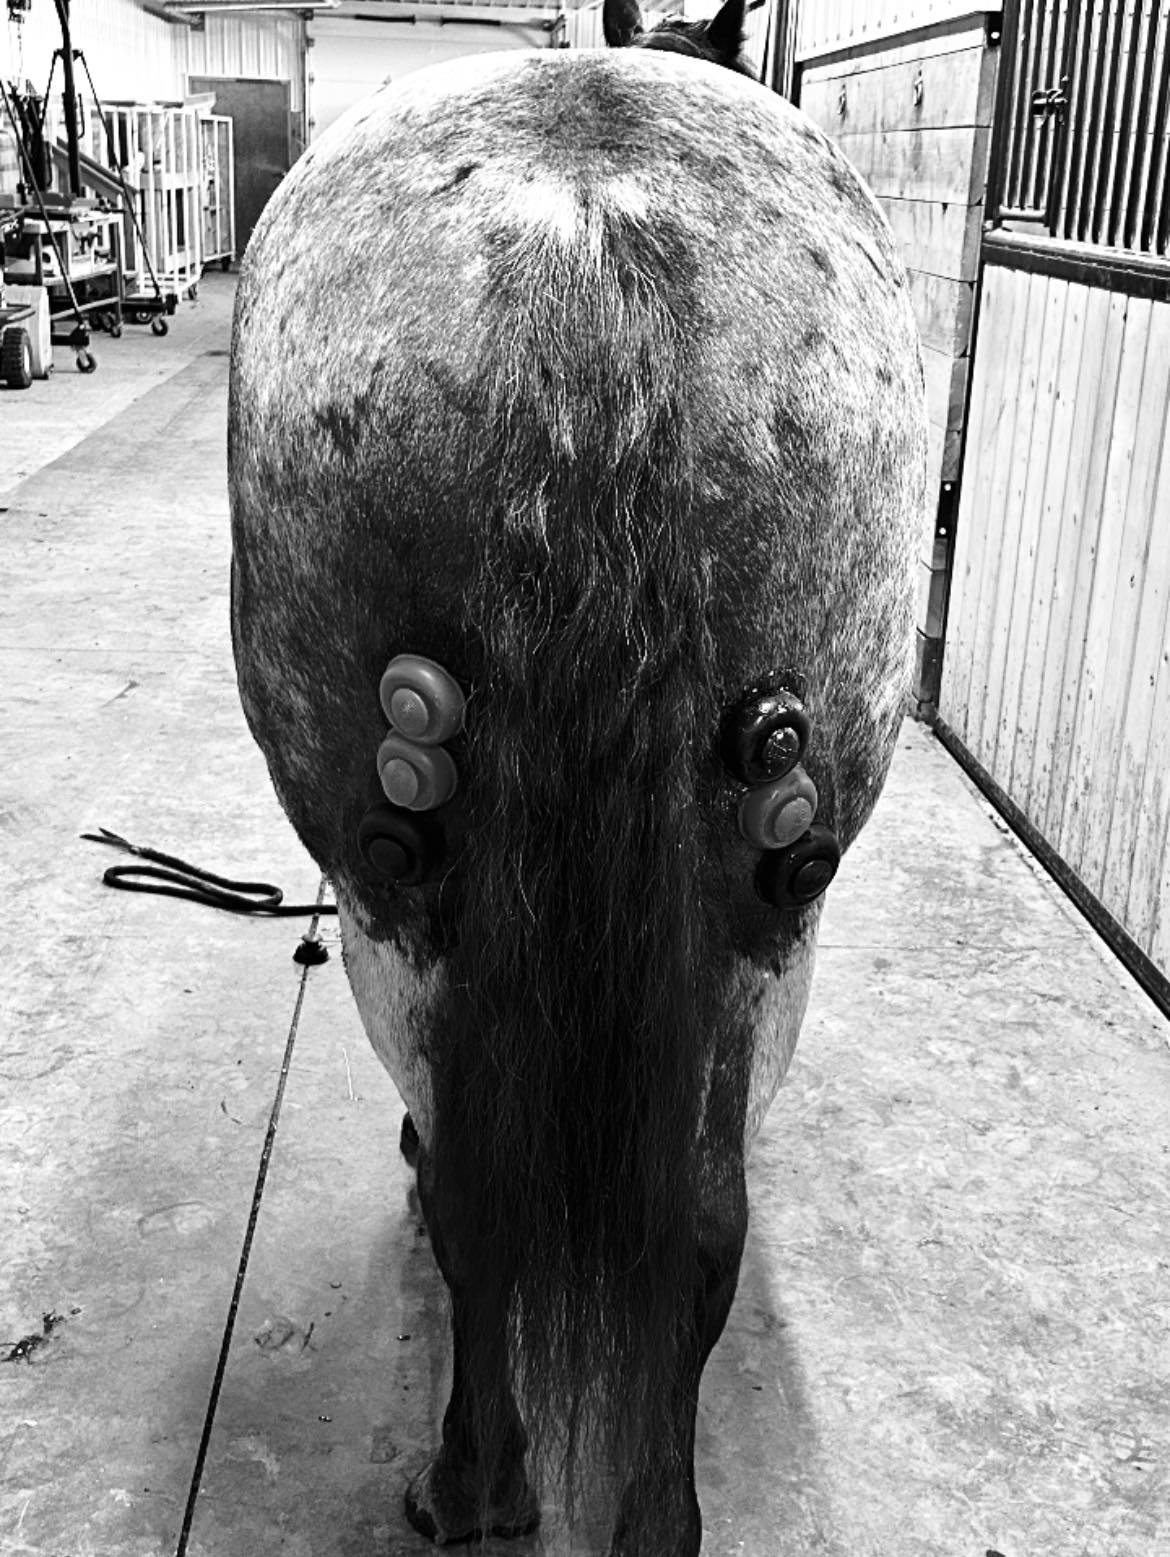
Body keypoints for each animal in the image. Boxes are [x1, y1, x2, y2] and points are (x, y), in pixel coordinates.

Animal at [228, 0, 926, 1548]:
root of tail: (588, 241)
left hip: (396, 905)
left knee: (485, 1204)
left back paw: (471, 1483)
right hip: (766, 910)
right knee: (699, 1222)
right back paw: (654, 1515)